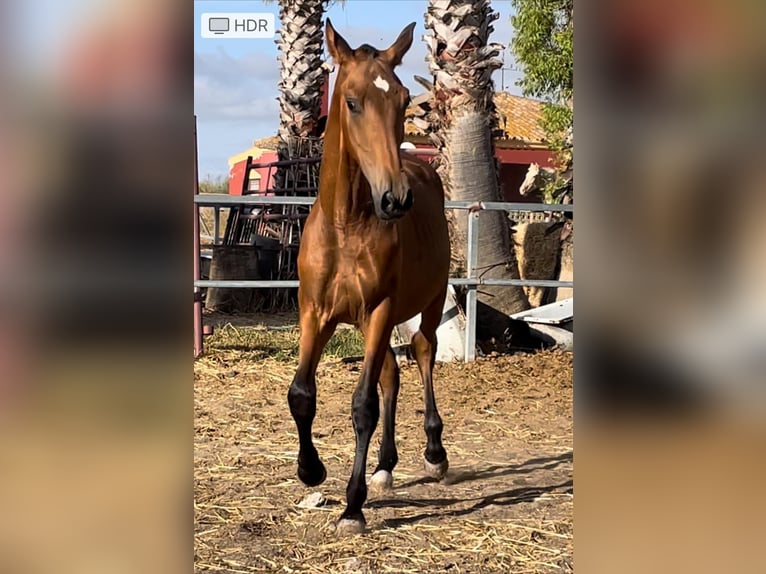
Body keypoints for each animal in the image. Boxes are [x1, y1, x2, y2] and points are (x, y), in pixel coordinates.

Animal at [292, 20, 452, 536]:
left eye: (403, 100)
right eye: (352, 101)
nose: (395, 198)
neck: (347, 225)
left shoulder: (381, 309)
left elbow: (363, 405)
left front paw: (352, 507)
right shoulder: (315, 313)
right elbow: (301, 394)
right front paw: (310, 470)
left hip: (428, 301)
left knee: (422, 351)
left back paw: (434, 453)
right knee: (392, 375)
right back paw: (384, 466)